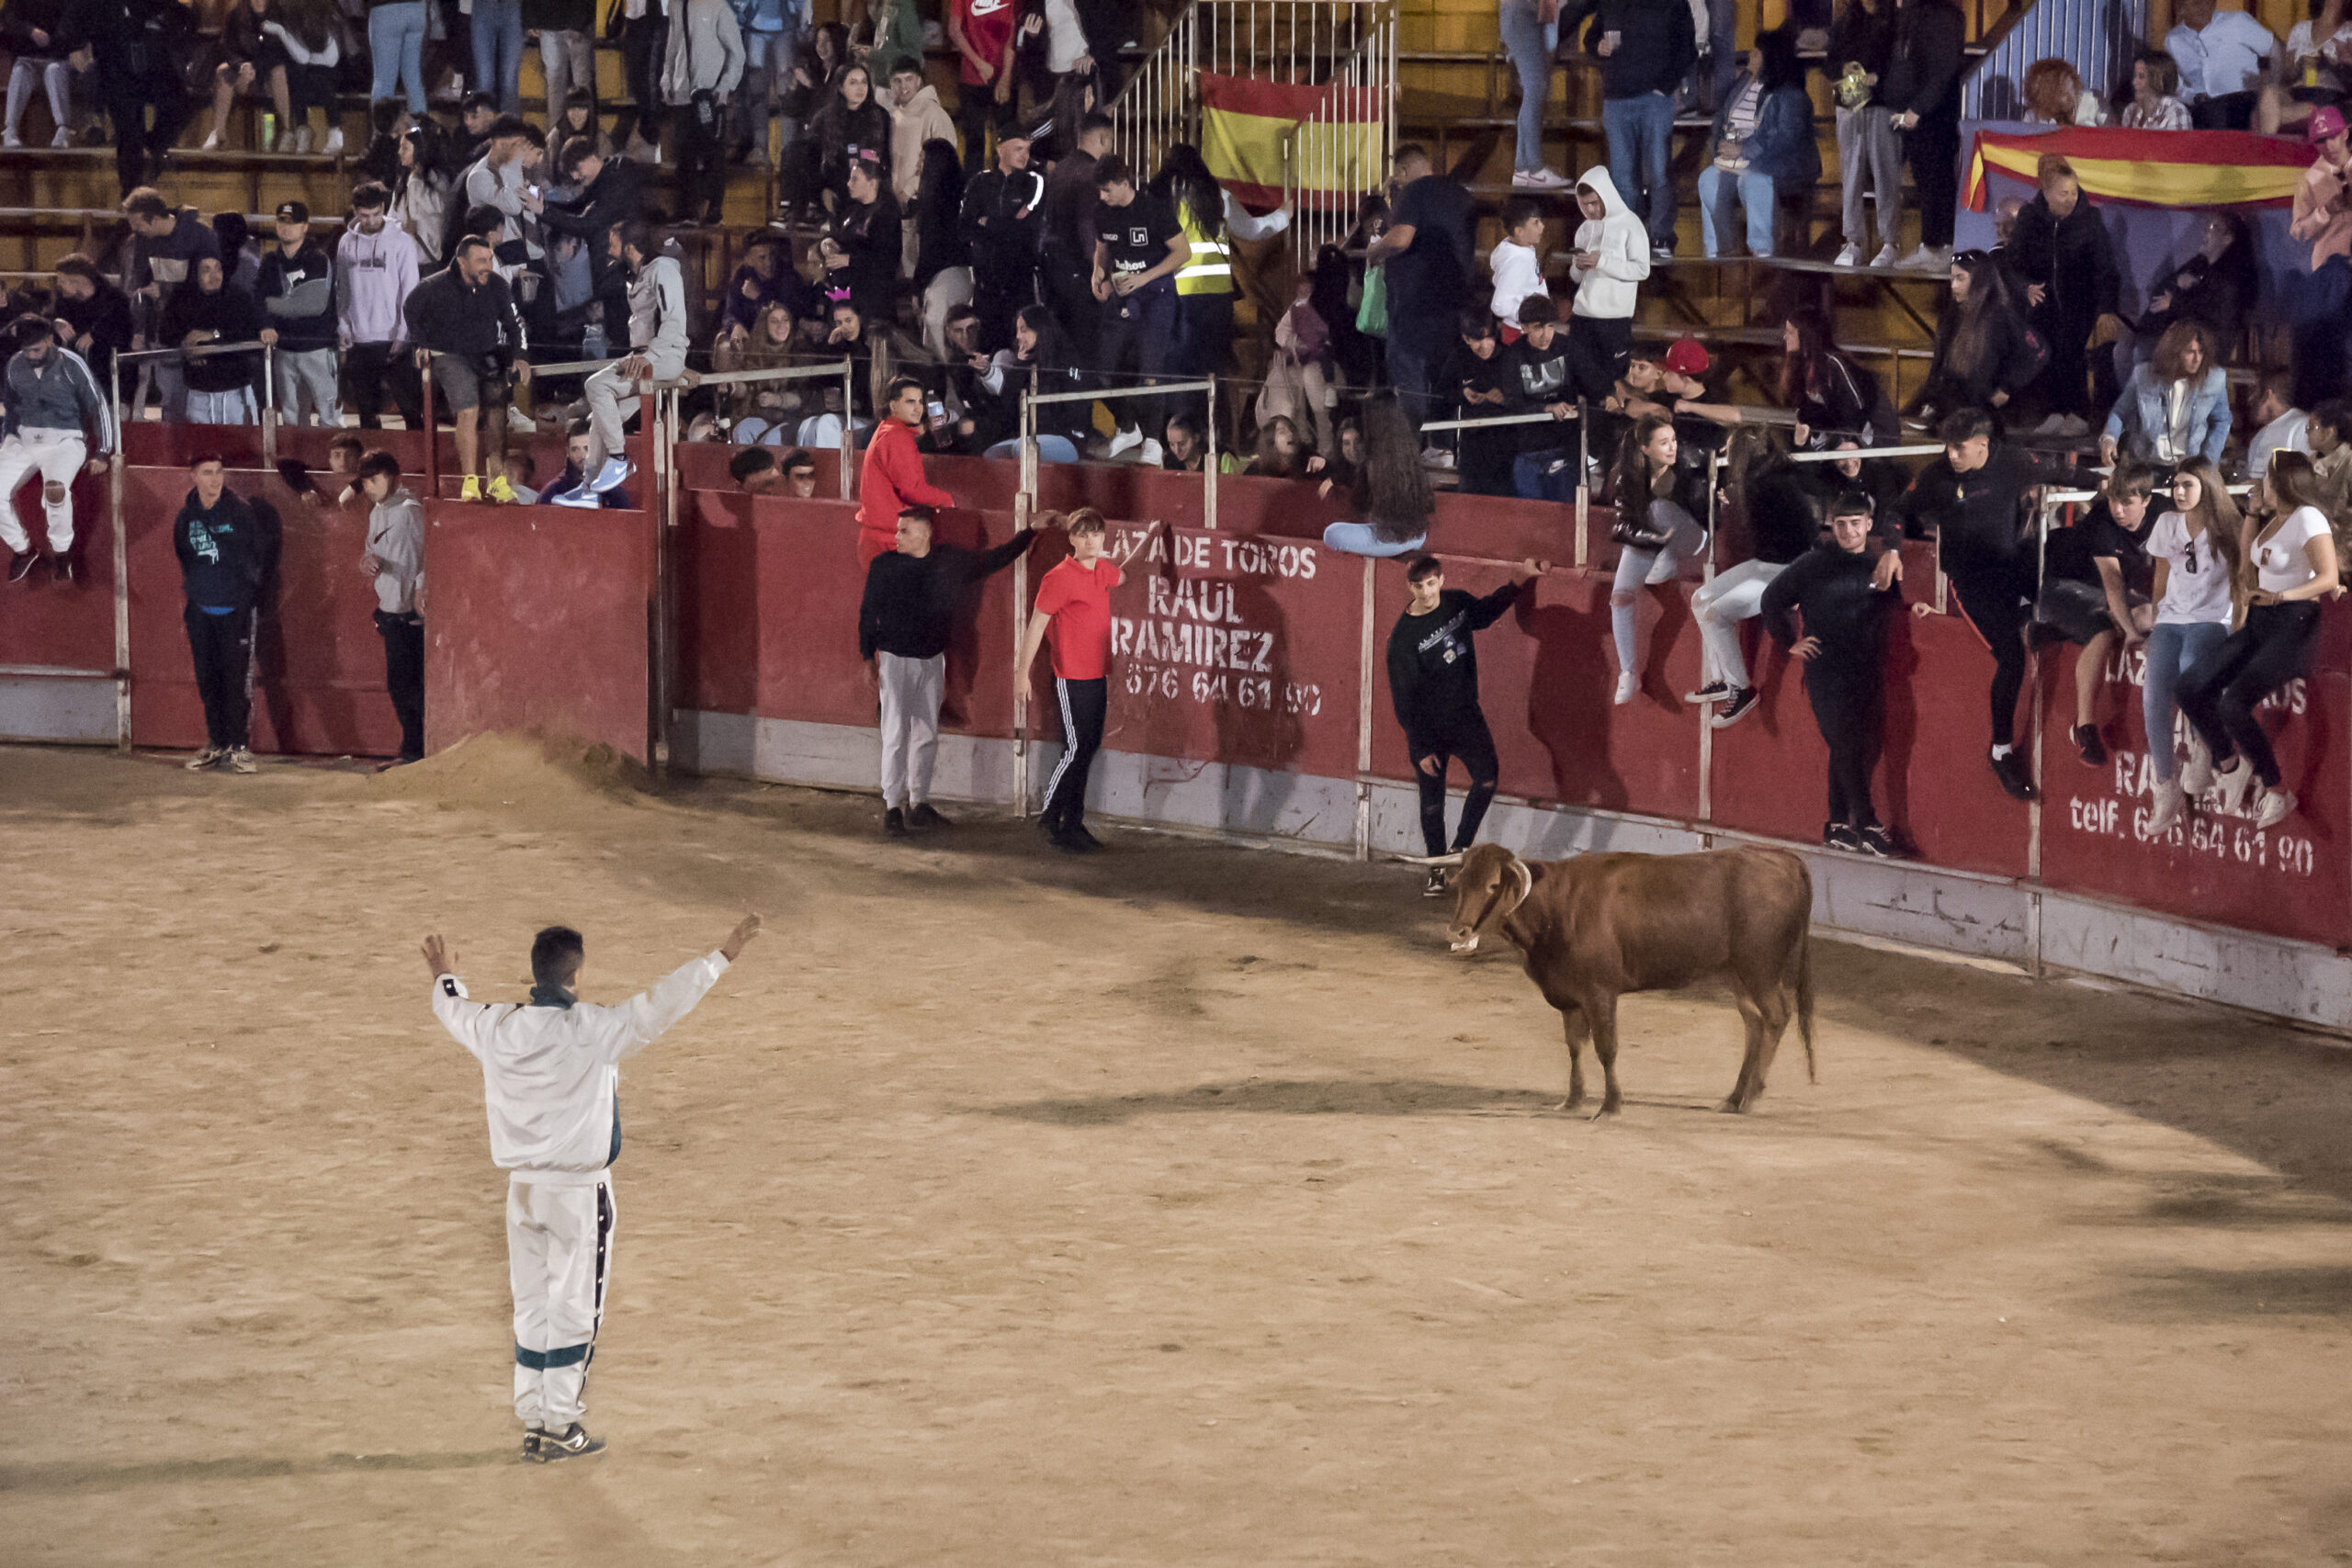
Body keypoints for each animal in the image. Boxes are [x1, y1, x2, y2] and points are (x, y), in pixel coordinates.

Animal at [1448, 846, 1815, 1114]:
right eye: (1461, 882)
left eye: (1492, 885)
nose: (1458, 931)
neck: (1555, 907)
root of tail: (1783, 858)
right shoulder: (1569, 997)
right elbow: (1575, 1046)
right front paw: (1572, 1100)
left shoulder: (1600, 993)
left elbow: (1606, 1048)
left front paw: (1610, 1106)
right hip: (1737, 974)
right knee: (1754, 1023)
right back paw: (1734, 1097)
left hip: (1761, 970)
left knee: (1776, 1017)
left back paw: (1751, 1096)